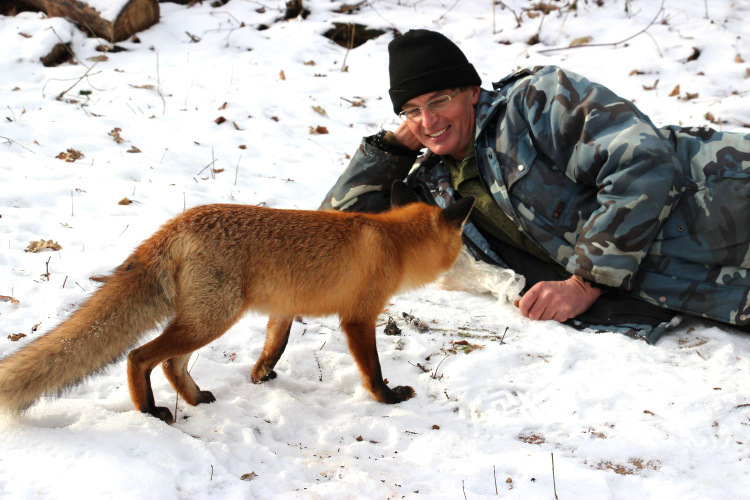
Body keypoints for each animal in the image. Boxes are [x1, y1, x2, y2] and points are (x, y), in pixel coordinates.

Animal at [0, 184, 476, 422]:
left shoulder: (284, 308)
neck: (392, 242)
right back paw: (149, 410)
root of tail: (174, 225)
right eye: (461, 243)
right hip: (214, 319)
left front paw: (260, 376)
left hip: (205, 319)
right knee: (140, 357)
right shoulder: (358, 318)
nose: (470, 262)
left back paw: (193, 399)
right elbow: (373, 370)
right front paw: (389, 399)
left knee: (170, 364)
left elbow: (274, 347)